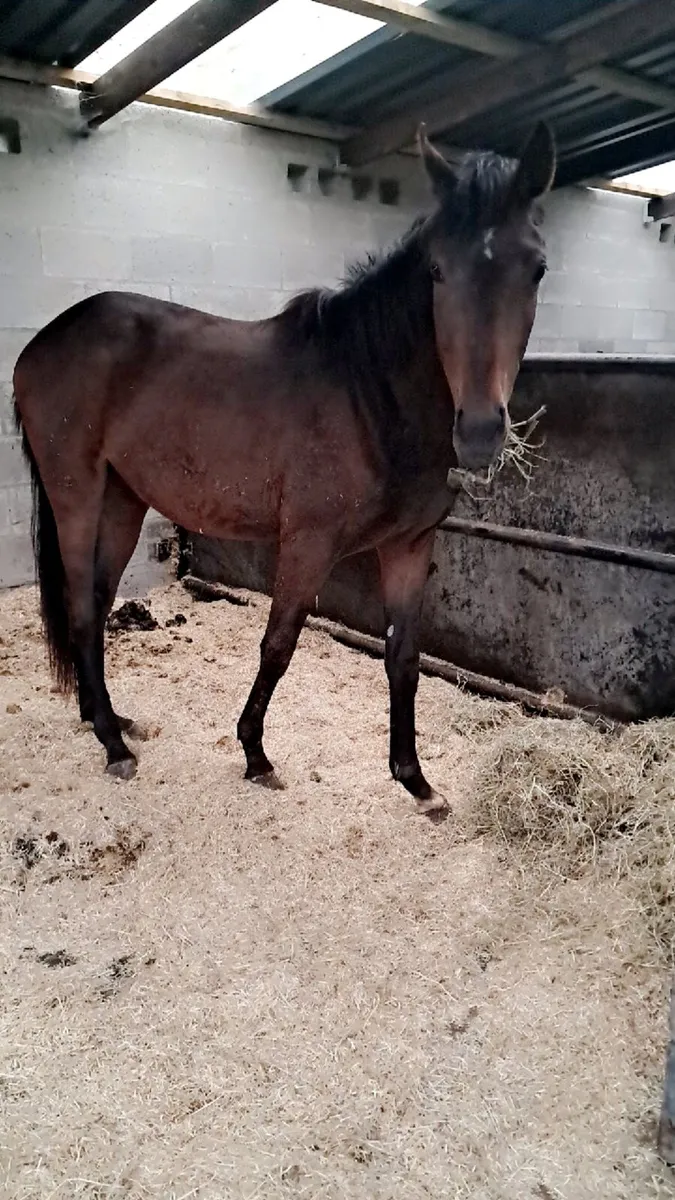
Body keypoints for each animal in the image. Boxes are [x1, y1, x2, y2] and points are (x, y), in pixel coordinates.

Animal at [13, 122, 555, 813]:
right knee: (83, 608)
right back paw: (112, 744)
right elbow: (280, 642)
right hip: (76, 494)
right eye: (437, 270)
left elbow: (404, 657)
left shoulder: (410, 545)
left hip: (122, 499)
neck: (368, 389)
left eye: (536, 268)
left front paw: (415, 779)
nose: (482, 430)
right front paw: (255, 753)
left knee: (99, 602)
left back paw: (106, 718)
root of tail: (38, 345)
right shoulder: (307, 542)